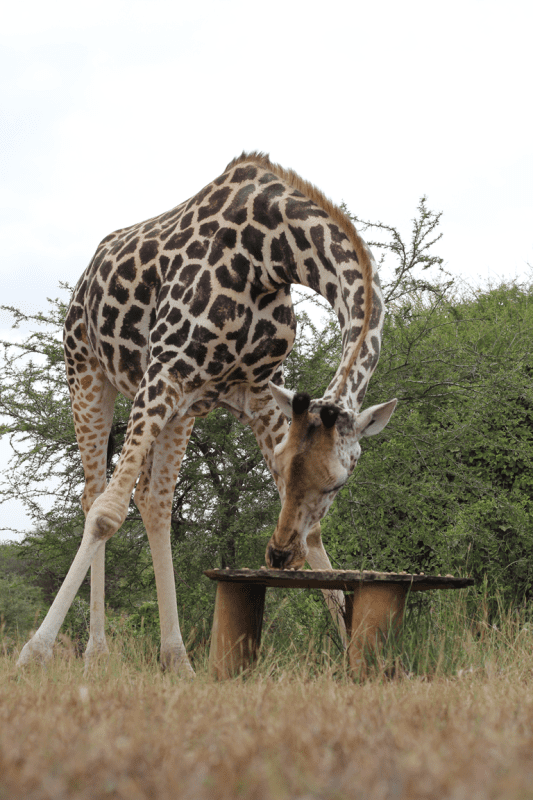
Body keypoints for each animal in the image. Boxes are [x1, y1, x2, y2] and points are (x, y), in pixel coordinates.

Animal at [17, 152, 396, 674]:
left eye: (337, 483)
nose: (279, 555)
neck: (272, 255)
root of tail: (85, 279)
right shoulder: (166, 368)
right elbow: (106, 515)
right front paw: (33, 654)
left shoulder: (250, 390)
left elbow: (315, 531)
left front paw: (348, 646)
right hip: (89, 371)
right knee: (94, 497)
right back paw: (97, 653)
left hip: (182, 406)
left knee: (153, 501)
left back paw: (176, 658)